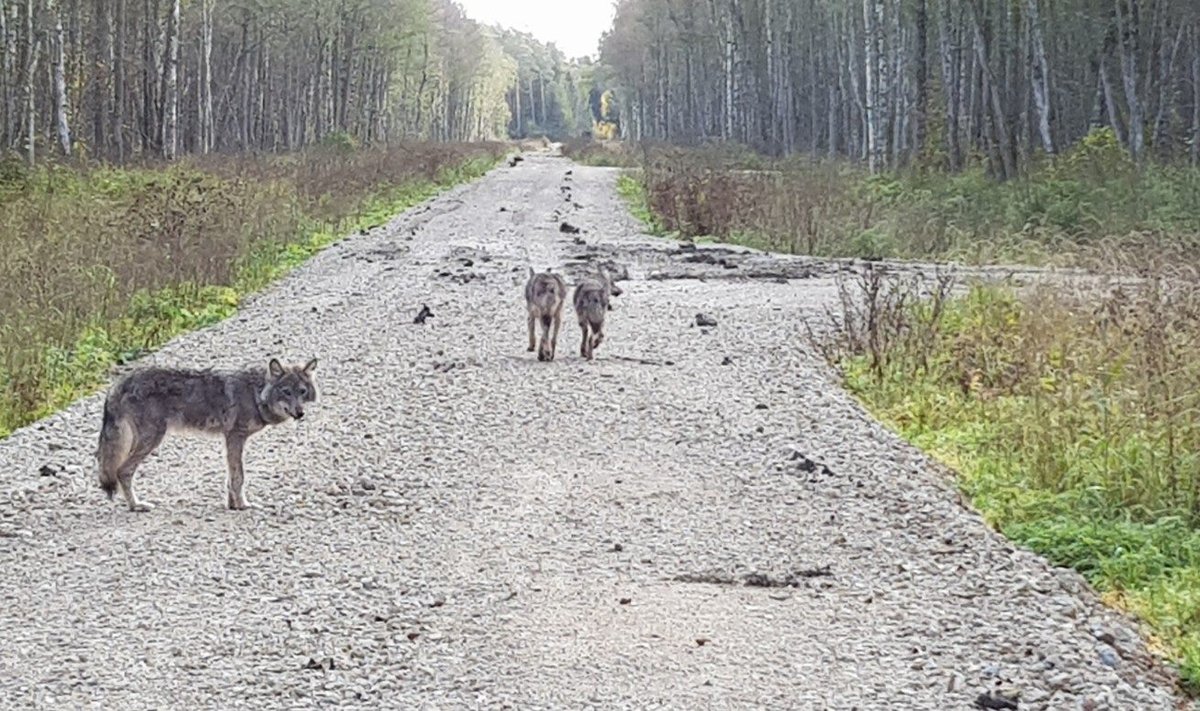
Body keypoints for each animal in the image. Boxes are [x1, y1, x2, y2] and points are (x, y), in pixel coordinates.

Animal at [96, 357, 319, 514]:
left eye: (302, 391)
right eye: (286, 392)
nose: (300, 413)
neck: (256, 395)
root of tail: (120, 382)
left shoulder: (230, 439)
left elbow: (231, 477)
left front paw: (233, 505)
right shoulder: (236, 437)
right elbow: (239, 477)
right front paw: (243, 505)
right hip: (152, 439)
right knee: (123, 471)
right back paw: (136, 506)